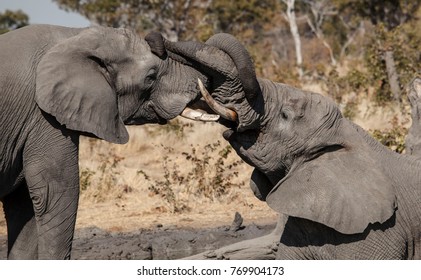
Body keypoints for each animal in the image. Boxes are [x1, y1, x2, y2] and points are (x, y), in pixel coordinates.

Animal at [0, 25, 223, 260]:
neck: (74, 35)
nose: (157, 38)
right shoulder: (43, 116)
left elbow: (24, 204)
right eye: (150, 77)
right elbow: (55, 192)